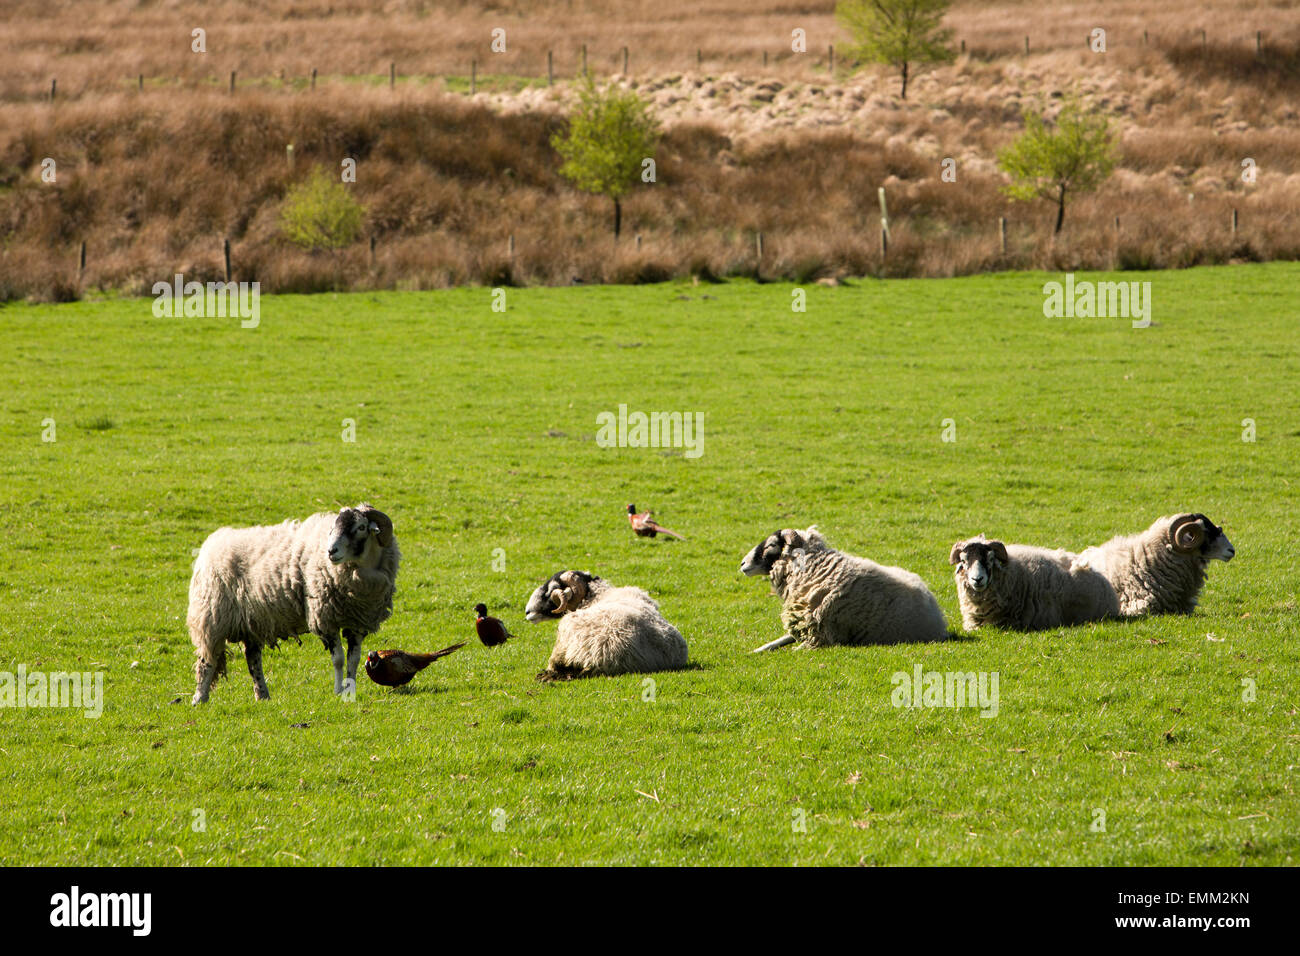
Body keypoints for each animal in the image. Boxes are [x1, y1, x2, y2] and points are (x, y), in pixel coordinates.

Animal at [188, 503, 400, 703]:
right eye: (333, 528)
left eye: (361, 527)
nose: (331, 551)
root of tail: (210, 544)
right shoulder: (324, 618)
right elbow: (339, 659)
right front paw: (339, 691)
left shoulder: (358, 622)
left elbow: (354, 659)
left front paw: (350, 690)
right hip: (212, 617)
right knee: (207, 660)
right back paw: (200, 698)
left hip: (252, 621)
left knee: (253, 659)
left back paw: (262, 695)